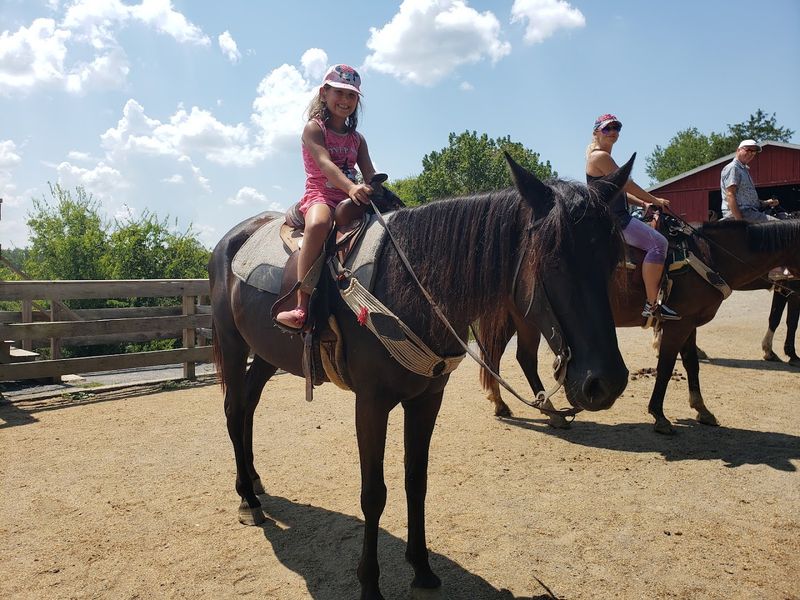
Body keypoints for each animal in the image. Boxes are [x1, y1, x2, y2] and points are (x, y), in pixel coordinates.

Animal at [209, 155, 632, 599]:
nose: (605, 381)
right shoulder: (371, 403)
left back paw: (254, 482)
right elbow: (373, 493)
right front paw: (370, 583)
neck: (406, 285)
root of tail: (228, 241)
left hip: (266, 354)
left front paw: (422, 569)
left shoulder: (427, 399)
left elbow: (417, 480)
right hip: (234, 344)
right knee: (234, 410)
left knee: (248, 407)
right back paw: (248, 501)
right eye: (552, 260)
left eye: (611, 259)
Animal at [480, 218, 800, 434]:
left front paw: (702, 409)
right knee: (521, 358)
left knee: (499, 356)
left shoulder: (689, 323)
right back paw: (551, 412)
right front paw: (659, 415)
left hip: (517, 319)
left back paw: (502, 403)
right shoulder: (677, 325)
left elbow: (692, 364)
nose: (788, 281)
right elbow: (666, 367)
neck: (709, 254)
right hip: (528, 319)